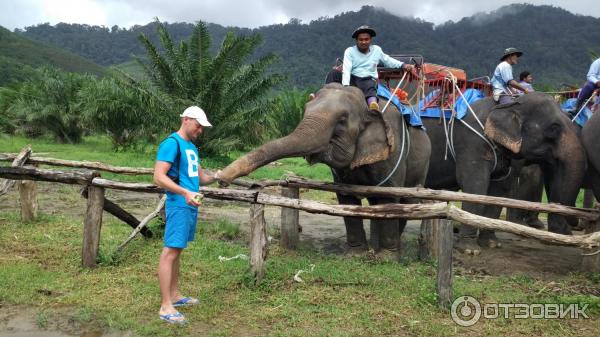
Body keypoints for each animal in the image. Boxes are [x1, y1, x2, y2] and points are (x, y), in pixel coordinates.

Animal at [219, 83, 432, 255]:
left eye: (342, 121)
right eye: (304, 110)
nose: (221, 178)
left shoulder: (392, 151)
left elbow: (389, 197)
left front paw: (386, 258)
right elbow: (347, 198)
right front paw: (356, 254)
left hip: (422, 164)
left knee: (407, 201)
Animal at [422, 92, 584, 252]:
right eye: (554, 128)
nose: (576, 225)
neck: (510, 104)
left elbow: (500, 190)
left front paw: (491, 244)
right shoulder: (471, 144)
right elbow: (476, 186)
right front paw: (470, 250)